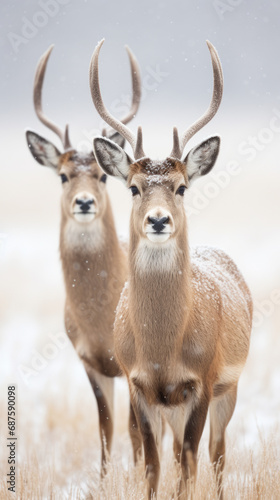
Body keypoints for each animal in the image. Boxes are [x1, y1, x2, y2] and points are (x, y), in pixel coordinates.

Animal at [25, 44, 143, 476]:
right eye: (62, 175)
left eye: (103, 176)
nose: (85, 202)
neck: (100, 318)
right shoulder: (89, 361)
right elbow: (105, 429)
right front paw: (104, 481)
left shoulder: (131, 364)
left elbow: (134, 431)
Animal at [89, 40, 254, 500]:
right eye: (133, 187)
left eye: (181, 187)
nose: (158, 220)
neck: (163, 349)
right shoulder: (138, 384)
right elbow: (152, 467)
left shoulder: (203, 380)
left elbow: (189, 467)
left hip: (230, 387)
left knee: (216, 455)